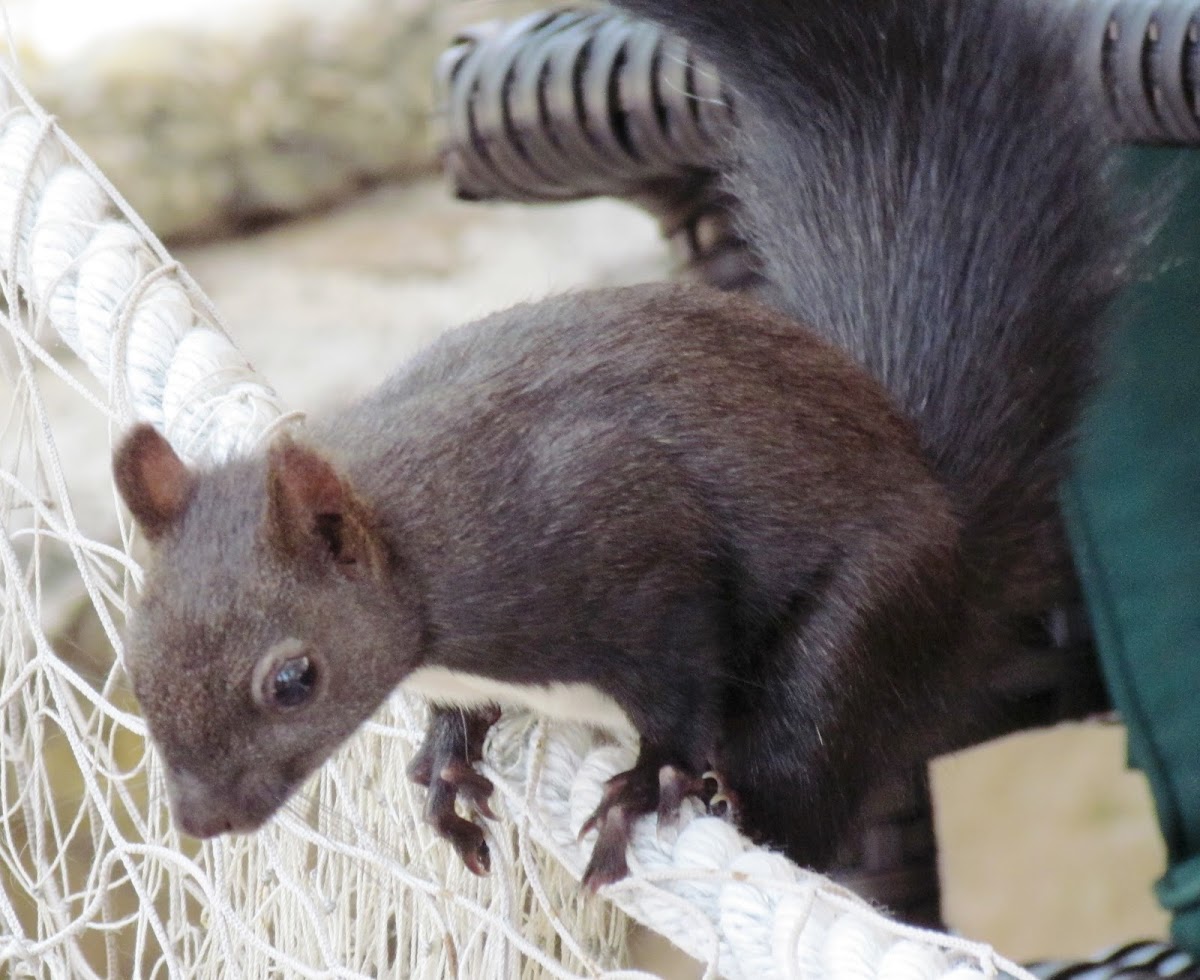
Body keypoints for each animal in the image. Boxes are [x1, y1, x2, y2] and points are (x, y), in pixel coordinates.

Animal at [108, 0, 1128, 892]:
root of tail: (956, 537)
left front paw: (646, 781)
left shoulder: (614, 526)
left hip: (860, 637)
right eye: (136, 658)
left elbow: (675, 667)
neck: (420, 544)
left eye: (294, 679)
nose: (203, 819)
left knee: (802, 769)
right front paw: (446, 758)